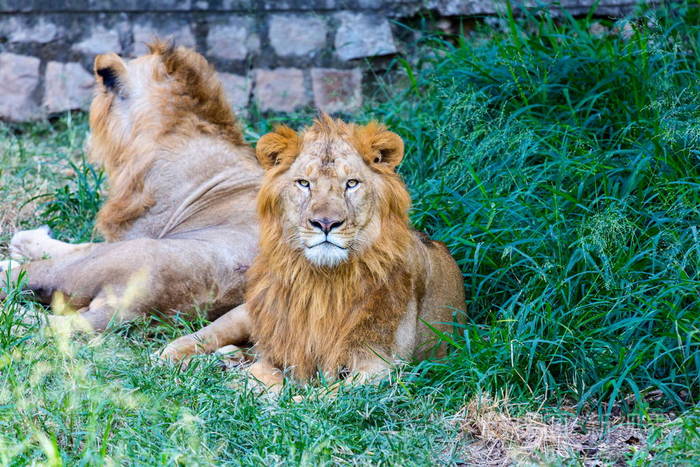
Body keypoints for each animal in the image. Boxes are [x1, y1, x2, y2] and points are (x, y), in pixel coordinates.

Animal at [159, 115, 464, 390]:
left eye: (351, 183)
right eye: (304, 183)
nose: (325, 223)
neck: (324, 279)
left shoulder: (381, 365)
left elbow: (324, 398)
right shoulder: (279, 347)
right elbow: (267, 374)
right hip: (246, 312)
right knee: (200, 336)